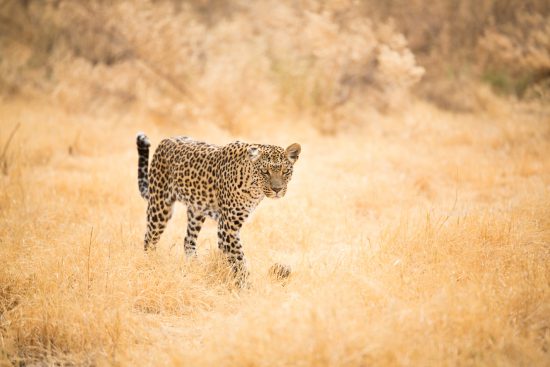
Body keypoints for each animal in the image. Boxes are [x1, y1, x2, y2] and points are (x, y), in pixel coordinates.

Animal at [137, 134, 302, 284]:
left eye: (285, 172)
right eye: (265, 172)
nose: (277, 190)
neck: (254, 188)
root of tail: (166, 140)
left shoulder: (225, 227)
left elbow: (228, 256)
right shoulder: (228, 226)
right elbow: (239, 259)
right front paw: (246, 287)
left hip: (196, 211)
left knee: (188, 240)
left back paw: (195, 267)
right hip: (160, 206)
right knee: (149, 238)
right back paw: (150, 264)